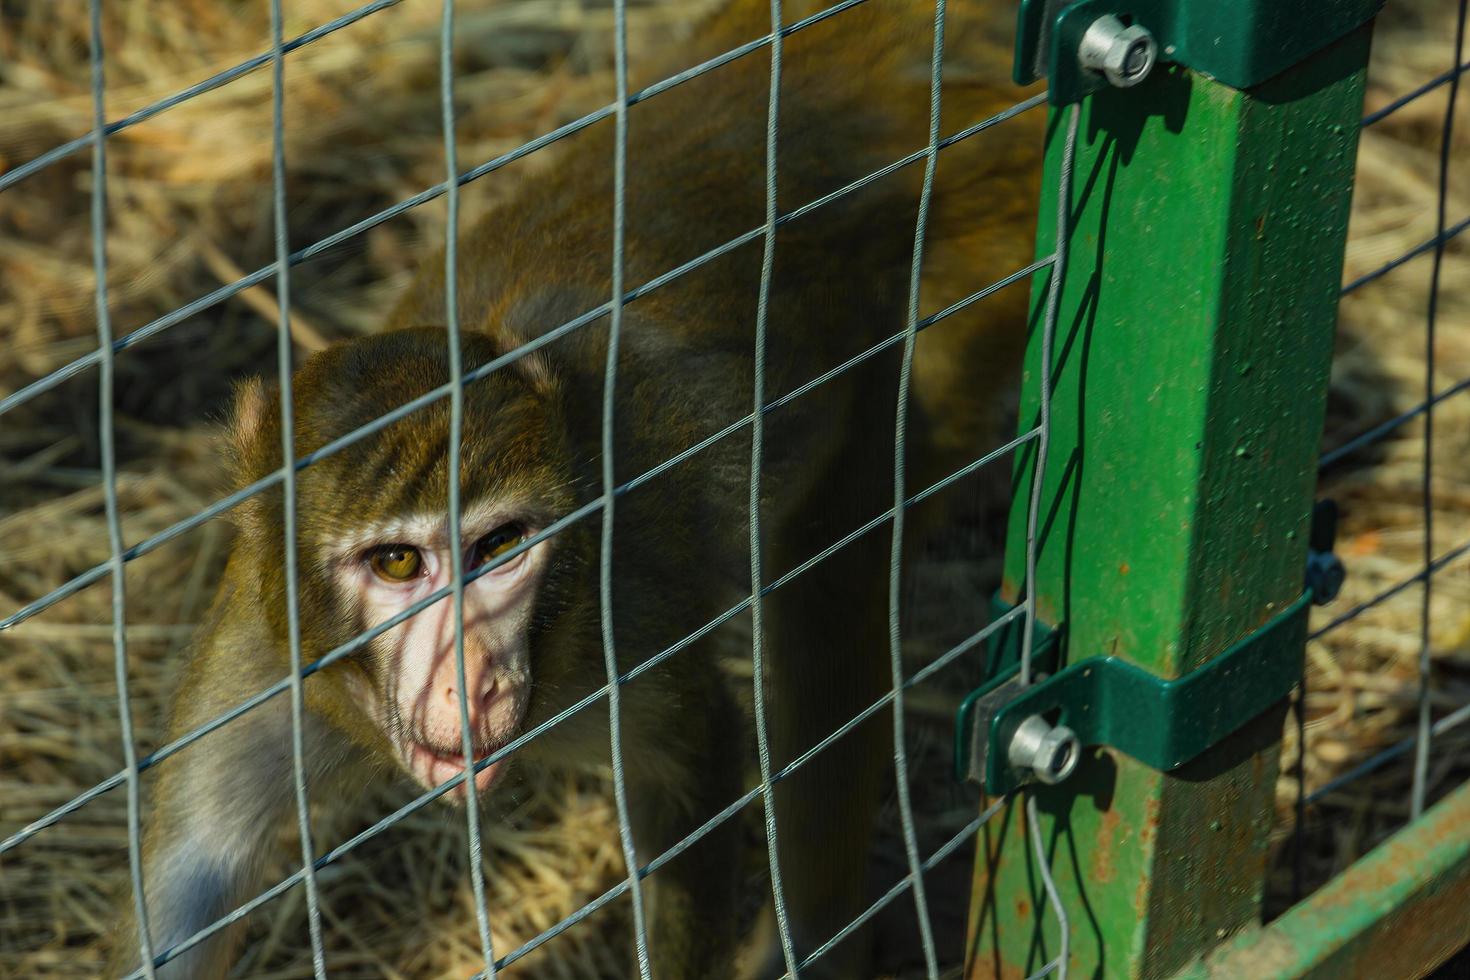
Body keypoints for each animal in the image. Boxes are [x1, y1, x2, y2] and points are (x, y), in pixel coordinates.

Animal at [108, 0, 1040, 975]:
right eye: (398, 563)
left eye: (500, 547)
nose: (471, 681)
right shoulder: (259, 664)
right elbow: (188, 899)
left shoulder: (622, 614)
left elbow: (692, 779)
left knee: (831, 578)